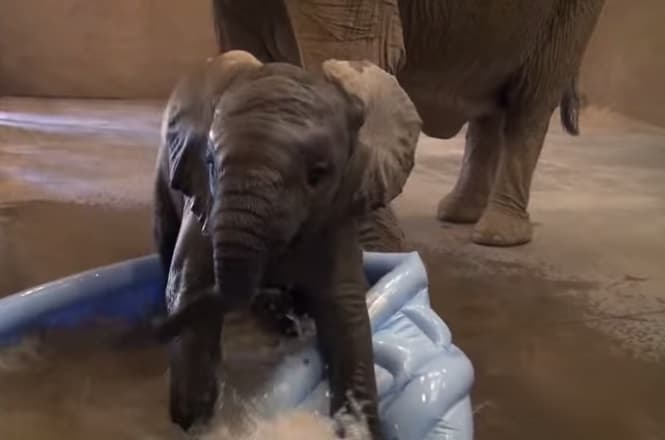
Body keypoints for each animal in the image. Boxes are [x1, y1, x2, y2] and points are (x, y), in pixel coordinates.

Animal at [151, 50, 422, 439]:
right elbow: (187, 287)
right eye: (211, 164)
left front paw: (358, 427)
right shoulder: (203, 203)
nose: (155, 328)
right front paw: (197, 422)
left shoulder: (337, 212)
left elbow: (345, 309)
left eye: (318, 174)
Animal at [210, 0, 606, 246]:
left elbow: (355, 50)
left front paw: (378, 252)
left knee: (531, 102)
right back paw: (460, 214)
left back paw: (498, 235)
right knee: (490, 106)